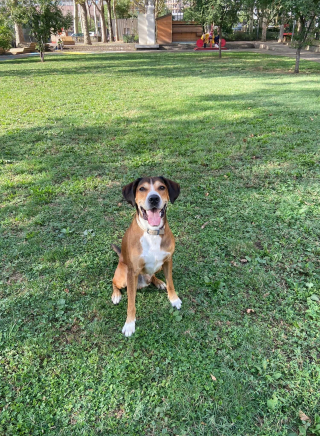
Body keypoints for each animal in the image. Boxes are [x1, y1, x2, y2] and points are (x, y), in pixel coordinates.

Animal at [111, 177, 181, 338]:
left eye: (161, 187)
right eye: (142, 189)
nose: (154, 198)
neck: (152, 232)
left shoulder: (168, 261)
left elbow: (171, 283)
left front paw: (174, 299)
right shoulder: (132, 272)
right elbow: (131, 303)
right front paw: (129, 324)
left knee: (154, 275)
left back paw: (158, 282)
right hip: (122, 275)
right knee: (113, 282)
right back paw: (116, 295)